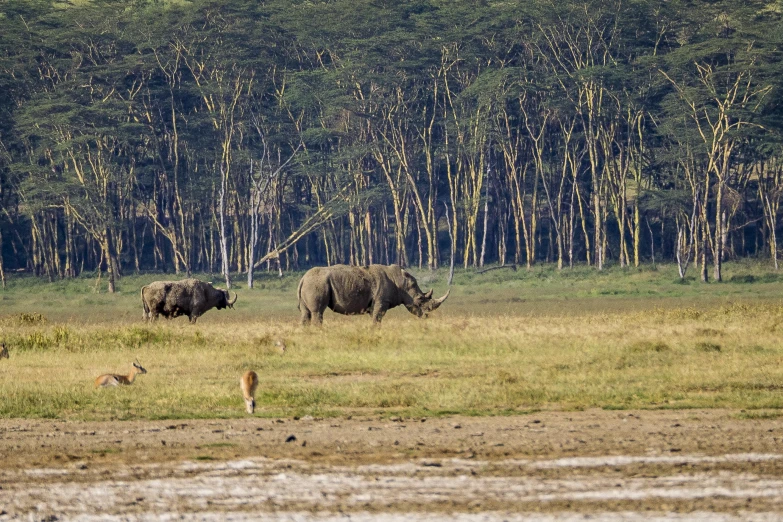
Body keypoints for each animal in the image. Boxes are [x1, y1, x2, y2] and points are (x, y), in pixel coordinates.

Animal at [298, 262, 450, 322]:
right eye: (420, 300)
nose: (427, 316)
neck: (401, 282)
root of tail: (303, 278)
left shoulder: (375, 302)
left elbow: (374, 317)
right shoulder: (381, 301)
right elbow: (377, 318)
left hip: (311, 284)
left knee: (306, 313)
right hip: (317, 284)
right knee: (317, 312)